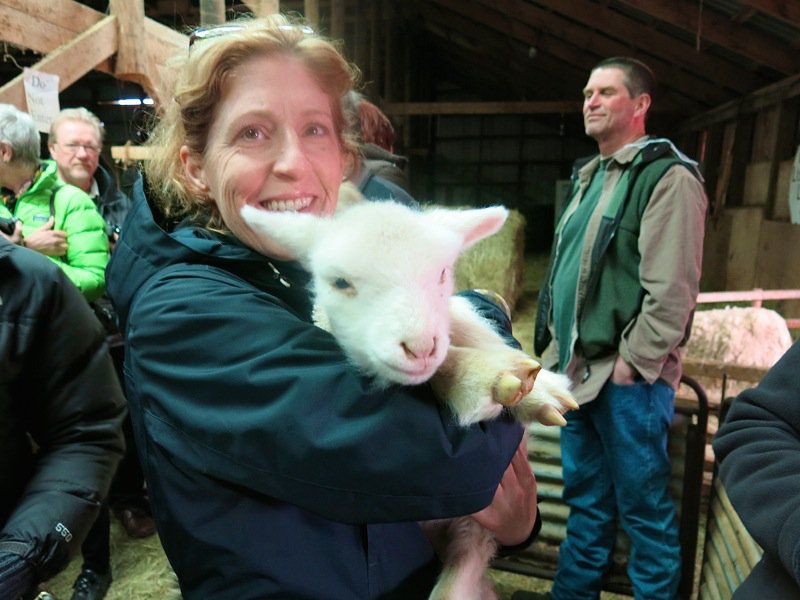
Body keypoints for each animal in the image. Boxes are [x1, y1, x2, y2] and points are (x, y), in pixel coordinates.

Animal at [241, 189, 577, 600]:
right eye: (340, 282)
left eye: (443, 273)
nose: (419, 347)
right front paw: (482, 378)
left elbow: (467, 327)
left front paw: (539, 389)